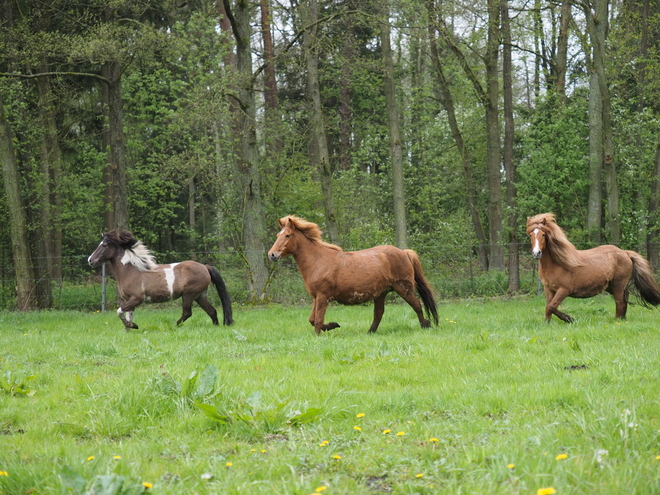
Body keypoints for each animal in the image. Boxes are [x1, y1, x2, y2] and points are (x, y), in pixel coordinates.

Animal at [86, 232, 233, 334]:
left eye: (104, 245)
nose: (90, 260)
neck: (130, 271)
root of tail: (205, 267)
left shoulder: (136, 299)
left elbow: (119, 312)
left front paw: (134, 326)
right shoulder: (129, 300)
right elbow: (127, 315)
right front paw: (128, 329)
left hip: (189, 295)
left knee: (187, 313)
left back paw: (174, 326)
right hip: (200, 295)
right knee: (212, 311)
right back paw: (216, 326)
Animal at [268, 215, 438, 336]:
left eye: (288, 235)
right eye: (277, 235)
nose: (272, 255)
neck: (318, 260)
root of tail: (404, 252)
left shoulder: (323, 296)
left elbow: (317, 321)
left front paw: (321, 334)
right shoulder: (316, 297)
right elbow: (312, 319)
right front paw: (333, 325)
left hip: (404, 288)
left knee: (417, 305)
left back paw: (426, 325)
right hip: (381, 294)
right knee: (378, 314)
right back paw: (370, 333)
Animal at [524, 212, 660, 322]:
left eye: (543, 235)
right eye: (531, 235)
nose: (536, 253)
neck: (556, 264)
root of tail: (625, 253)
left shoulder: (564, 290)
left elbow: (551, 306)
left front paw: (569, 319)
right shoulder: (549, 289)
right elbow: (548, 308)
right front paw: (548, 323)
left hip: (618, 284)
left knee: (620, 302)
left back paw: (616, 321)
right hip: (611, 286)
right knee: (624, 299)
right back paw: (622, 318)